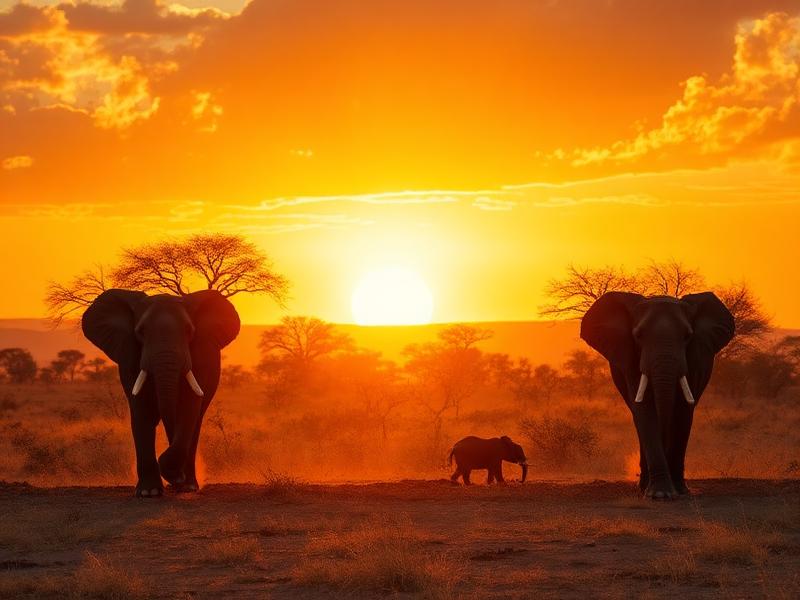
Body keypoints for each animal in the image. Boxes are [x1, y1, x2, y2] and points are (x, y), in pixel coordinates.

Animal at [82, 289, 240, 497]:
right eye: (140, 332)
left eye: (189, 331)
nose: (177, 478)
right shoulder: (129, 354)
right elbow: (141, 409)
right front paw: (149, 492)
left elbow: (187, 408)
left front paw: (180, 482)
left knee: (196, 422)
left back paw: (188, 486)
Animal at [581, 292, 734, 500]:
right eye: (638, 336)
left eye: (688, 336)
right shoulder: (629, 358)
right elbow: (645, 410)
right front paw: (660, 494)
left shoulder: (695, 359)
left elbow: (683, 411)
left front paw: (678, 491)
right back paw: (643, 486)